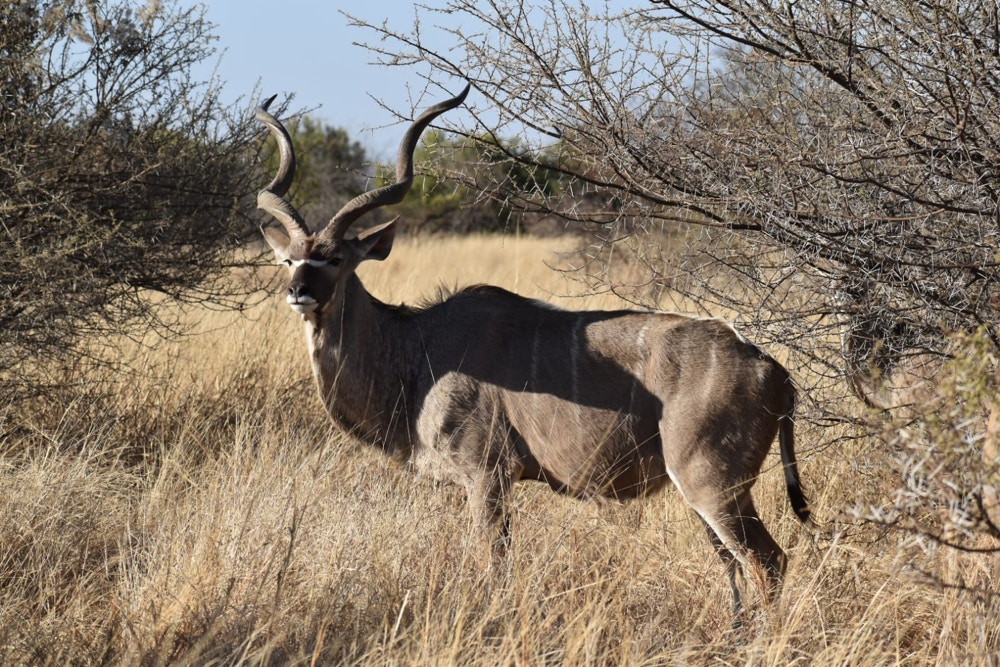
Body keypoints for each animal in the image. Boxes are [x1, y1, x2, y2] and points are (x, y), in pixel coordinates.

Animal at [254, 84, 811, 618]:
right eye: (288, 259)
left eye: (337, 259)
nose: (299, 292)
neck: (418, 350)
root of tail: (775, 372)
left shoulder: (487, 476)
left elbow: (494, 567)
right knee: (738, 565)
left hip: (710, 484)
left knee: (768, 561)